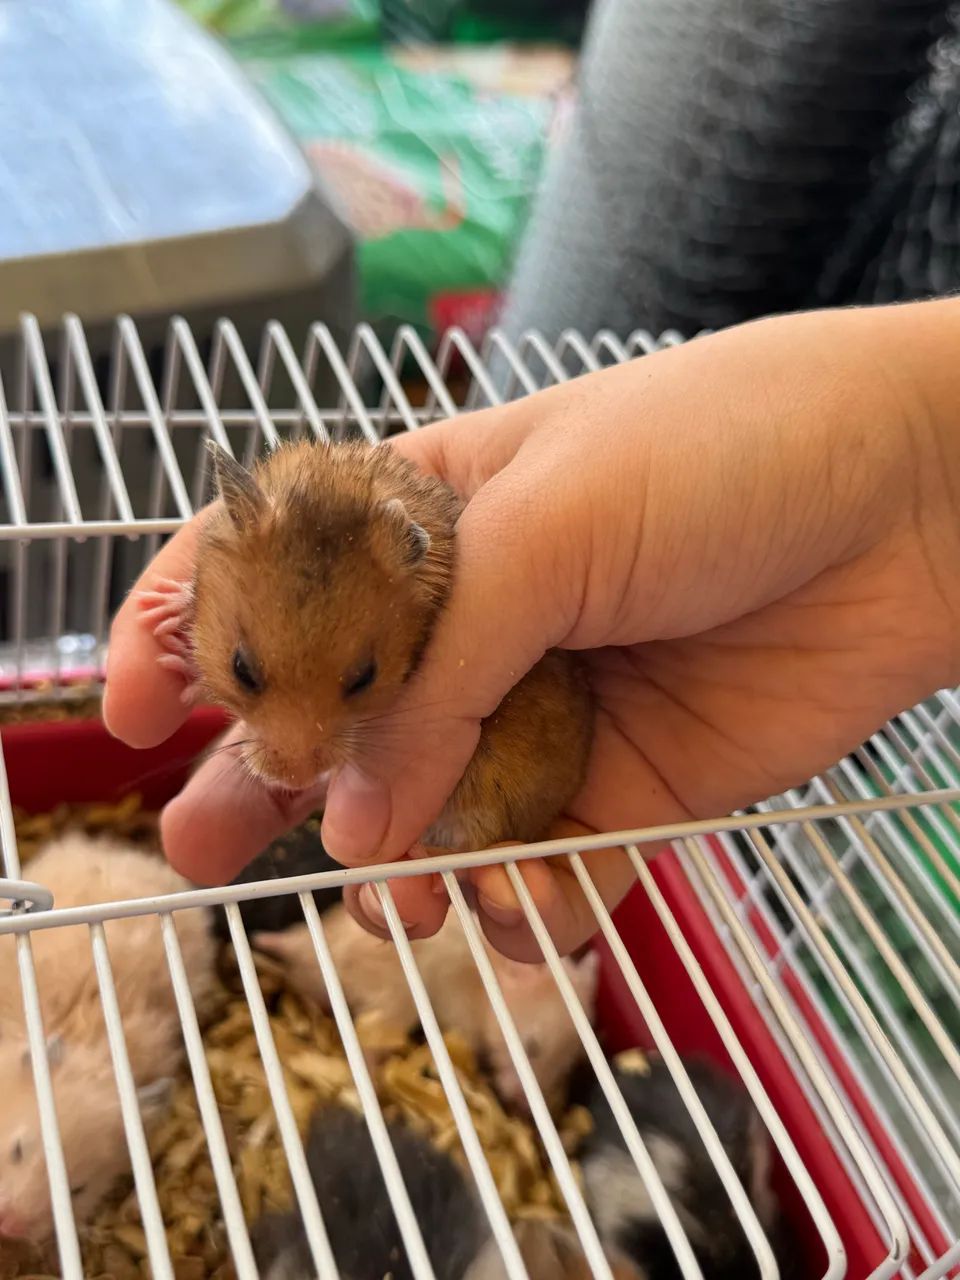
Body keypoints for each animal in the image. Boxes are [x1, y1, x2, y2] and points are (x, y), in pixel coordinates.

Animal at [254, 902, 599, 1114]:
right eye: (531, 1047)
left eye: (567, 1064)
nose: (523, 1109)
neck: (484, 987)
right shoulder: (460, 1018)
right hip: (392, 1008)